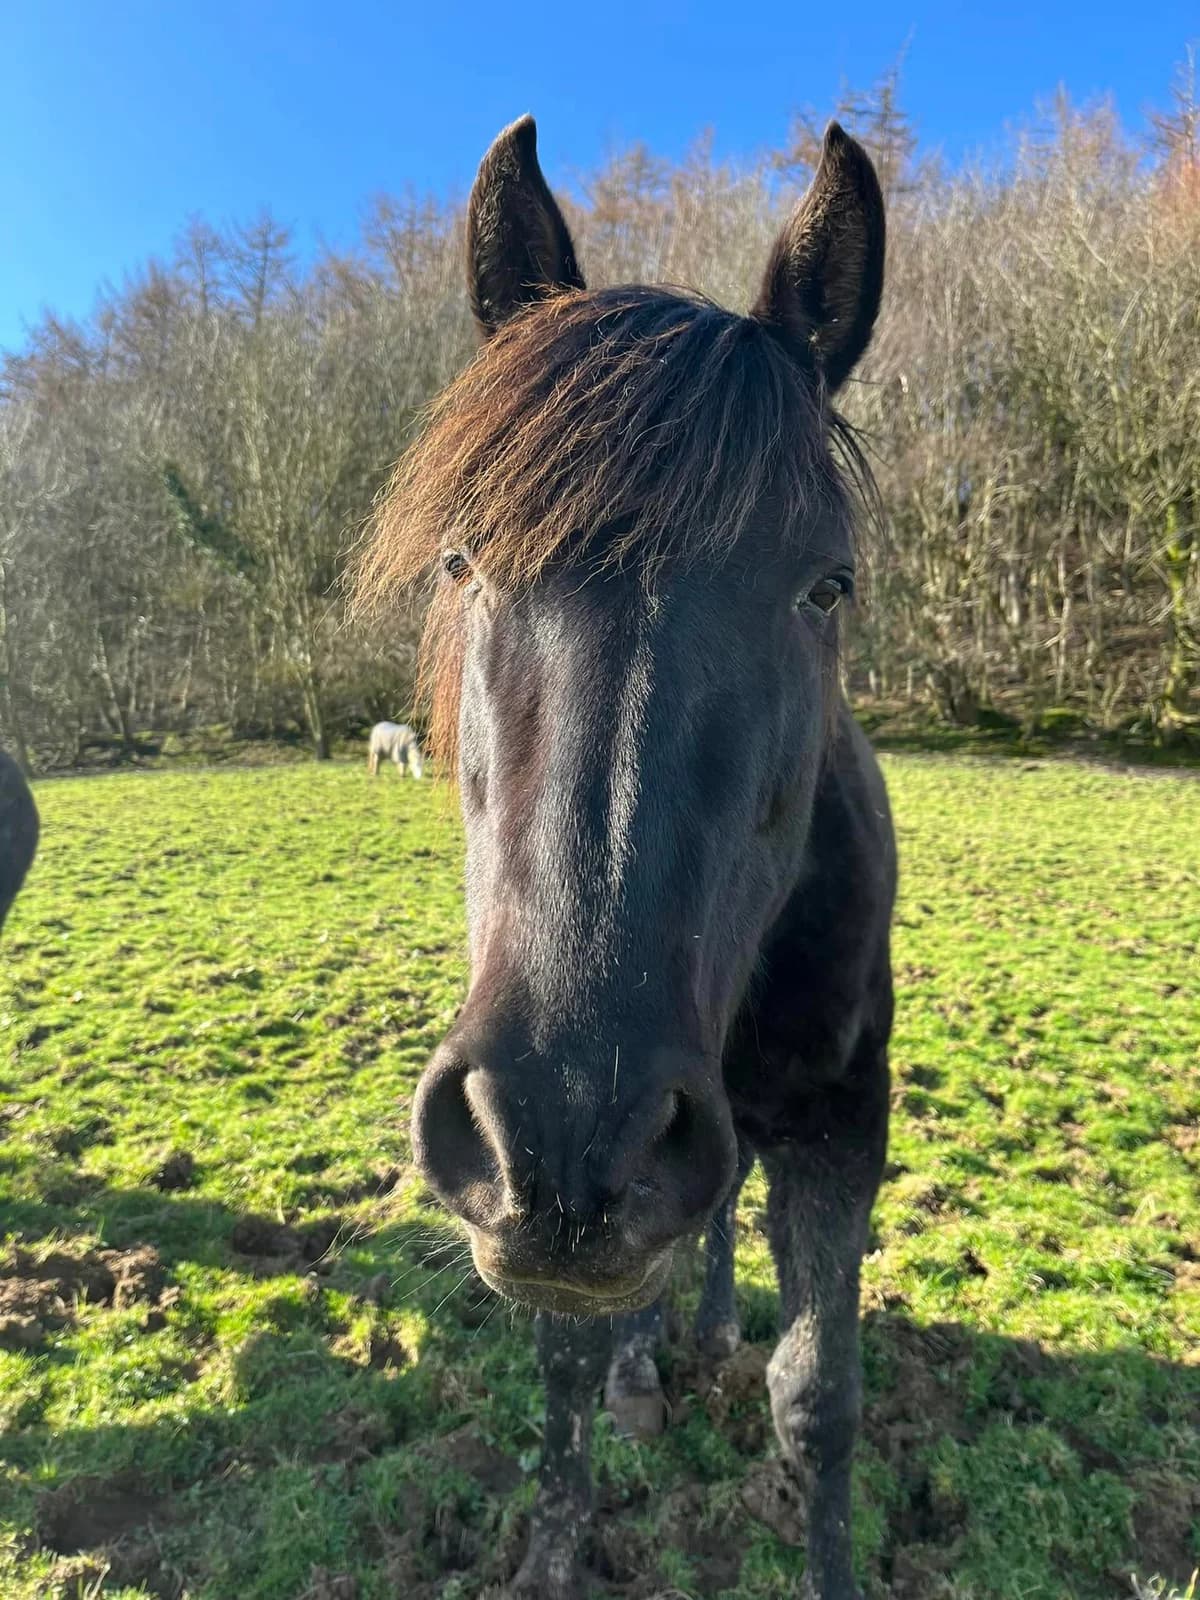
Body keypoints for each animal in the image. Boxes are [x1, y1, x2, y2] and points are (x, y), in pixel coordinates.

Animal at [357, 116, 896, 1600]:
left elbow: (818, 1399)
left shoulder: (844, 1128)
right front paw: (560, 1533)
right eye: (463, 561)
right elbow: (561, 1379)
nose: (567, 1131)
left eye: (826, 583)